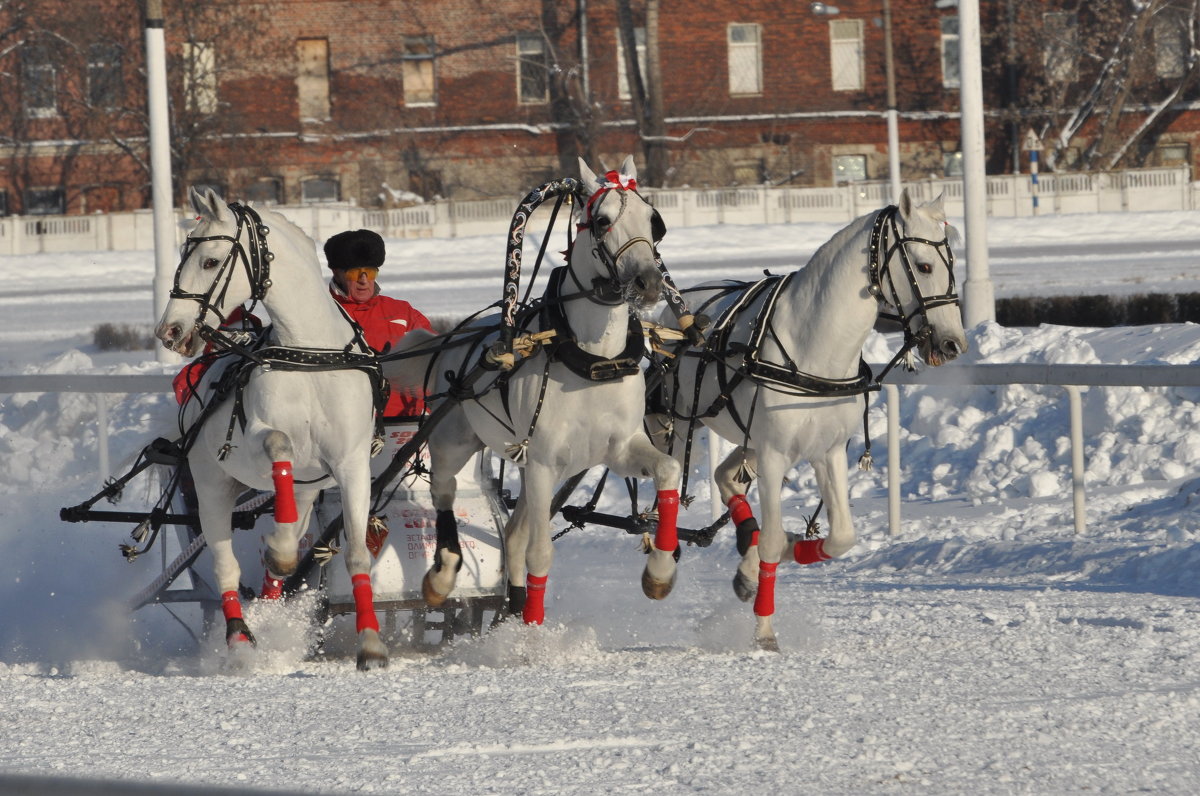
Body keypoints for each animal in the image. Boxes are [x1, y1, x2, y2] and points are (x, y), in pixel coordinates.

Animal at [154, 189, 386, 667]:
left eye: (209, 261)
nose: (169, 330)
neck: (310, 353)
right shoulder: (255, 441)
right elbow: (280, 444)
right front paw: (278, 551)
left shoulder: (351, 464)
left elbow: (357, 554)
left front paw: (371, 643)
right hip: (211, 486)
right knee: (225, 564)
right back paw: (240, 638)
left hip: (308, 491)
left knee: (287, 538)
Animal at [386, 158, 686, 624]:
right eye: (602, 221)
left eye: (655, 222)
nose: (648, 283)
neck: (594, 360)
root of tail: (456, 336)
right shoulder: (544, 461)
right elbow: (540, 554)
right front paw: (532, 629)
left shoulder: (618, 448)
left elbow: (669, 469)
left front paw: (660, 571)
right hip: (456, 440)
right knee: (444, 489)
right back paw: (443, 574)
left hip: (531, 468)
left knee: (512, 531)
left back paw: (512, 604)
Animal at [652, 189, 969, 653]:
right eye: (925, 266)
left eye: (952, 264)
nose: (953, 343)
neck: (815, 347)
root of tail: (669, 311)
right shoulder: (773, 455)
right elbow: (769, 540)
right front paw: (764, 630)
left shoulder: (827, 451)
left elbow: (838, 538)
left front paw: (776, 557)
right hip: (678, 424)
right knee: (668, 489)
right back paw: (661, 565)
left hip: (747, 438)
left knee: (725, 476)